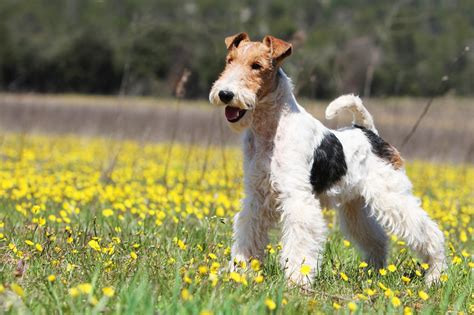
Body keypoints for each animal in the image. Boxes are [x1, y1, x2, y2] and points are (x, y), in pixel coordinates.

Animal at [209, 32, 446, 288]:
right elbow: (248, 233)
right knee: (378, 239)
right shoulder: (256, 197)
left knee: (430, 232)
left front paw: (297, 279)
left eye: (257, 66)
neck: (270, 129)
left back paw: (435, 274)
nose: (225, 94)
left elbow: (300, 242)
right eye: (229, 61)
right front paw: (240, 270)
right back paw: (373, 272)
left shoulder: (298, 198)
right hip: (355, 207)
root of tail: (369, 133)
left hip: (391, 197)